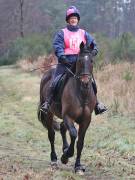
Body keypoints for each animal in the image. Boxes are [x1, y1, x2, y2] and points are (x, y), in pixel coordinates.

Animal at [38, 41, 96, 173]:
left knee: (62, 128)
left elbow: (80, 142)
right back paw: (54, 159)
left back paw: (64, 149)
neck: (82, 93)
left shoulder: (86, 120)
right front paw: (66, 156)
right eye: (79, 61)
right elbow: (74, 134)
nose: (85, 82)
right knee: (52, 134)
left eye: (91, 61)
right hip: (49, 114)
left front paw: (78, 166)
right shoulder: (68, 116)